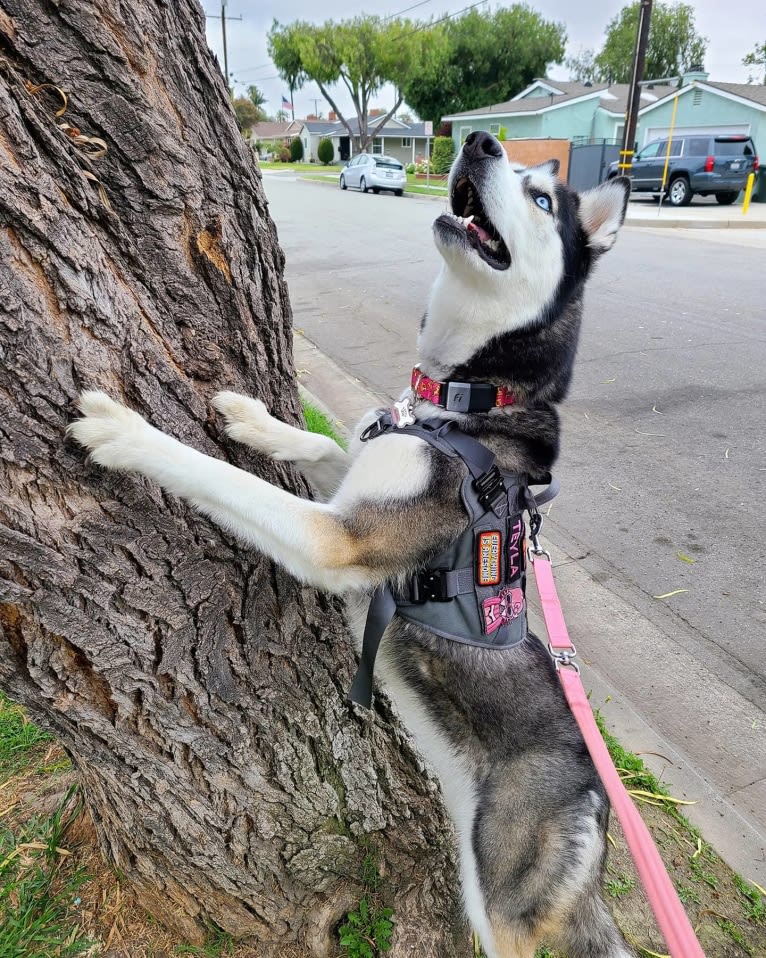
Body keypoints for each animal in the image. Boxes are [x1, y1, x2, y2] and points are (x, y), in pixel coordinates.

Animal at [70, 131, 636, 956]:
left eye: (540, 198)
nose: (477, 139)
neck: (463, 401)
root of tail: (596, 799)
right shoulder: (356, 487)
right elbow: (321, 441)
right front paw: (254, 419)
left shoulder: (339, 539)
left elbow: (226, 481)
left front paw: (129, 434)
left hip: (508, 908)